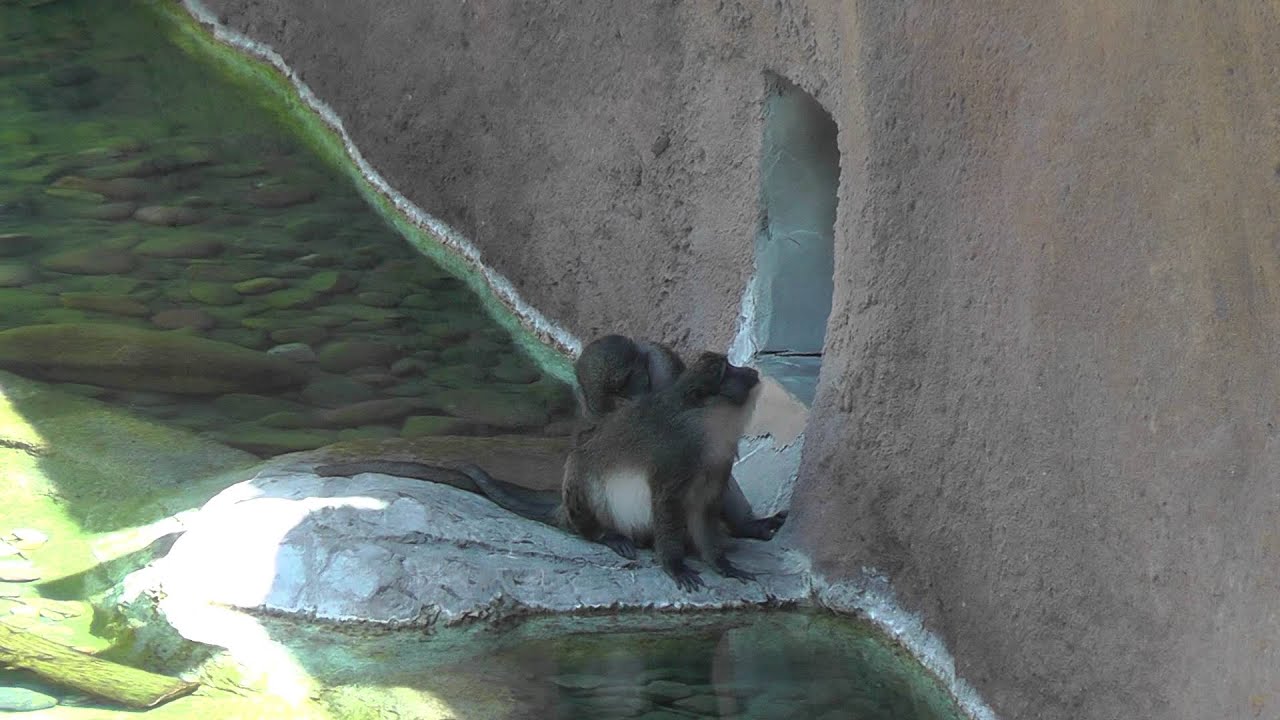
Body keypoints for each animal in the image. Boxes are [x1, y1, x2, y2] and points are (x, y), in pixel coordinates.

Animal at [466, 352, 761, 591]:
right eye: (726, 370)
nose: (750, 371)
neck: (706, 427)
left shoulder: (717, 469)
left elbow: (704, 511)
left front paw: (721, 563)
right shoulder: (673, 461)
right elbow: (666, 504)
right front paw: (674, 565)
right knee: (581, 468)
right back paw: (604, 534)